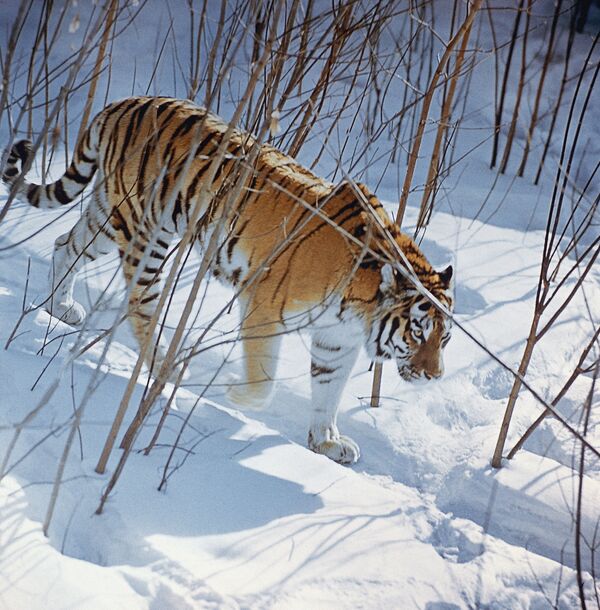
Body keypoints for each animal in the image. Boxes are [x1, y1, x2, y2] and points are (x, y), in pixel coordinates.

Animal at [1, 97, 454, 464]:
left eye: (444, 339)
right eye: (417, 332)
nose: (435, 376)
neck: (361, 309)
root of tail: (123, 104)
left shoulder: (335, 339)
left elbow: (328, 390)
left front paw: (326, 442)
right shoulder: (264, 305)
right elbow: (263, 380)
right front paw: (235, 393)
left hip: (107, 216)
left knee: (65, 244)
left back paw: (60, 308)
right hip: (144, 228)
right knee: (140, 304)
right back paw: (163, 365)